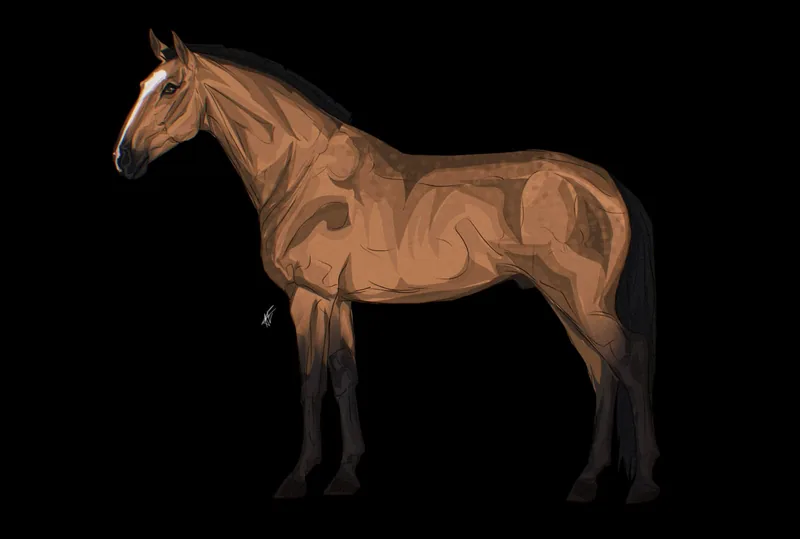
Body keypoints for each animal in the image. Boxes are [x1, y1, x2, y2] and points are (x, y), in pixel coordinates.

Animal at [113, 30, 659, 503]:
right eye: (142, 86)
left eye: (171, 88)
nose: (123, 158)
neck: (301, 174)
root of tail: (606, 186)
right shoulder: (337, 300)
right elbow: (343, 375)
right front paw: (346, 475)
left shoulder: (309, 297)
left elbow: (311, 381)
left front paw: (298, 477)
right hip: (565, 303)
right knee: (602, 372)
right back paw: (587, 481)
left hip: (582, 302)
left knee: (630, 363)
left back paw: (643, 485)